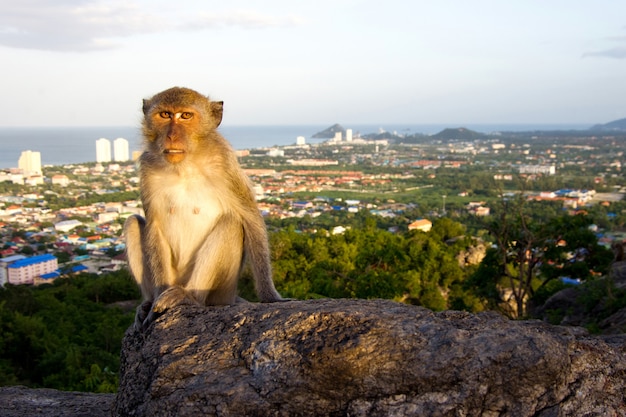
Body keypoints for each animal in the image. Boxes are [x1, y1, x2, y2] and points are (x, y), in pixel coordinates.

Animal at [123, 87, 282, 328]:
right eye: (165, 115)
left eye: (185, 116)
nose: (171, 136)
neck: (184, 167)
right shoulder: (148, 168)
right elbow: (154, 225)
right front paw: (154, 302)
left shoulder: (224, 164)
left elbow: (250, 217)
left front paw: (270, 297)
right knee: (133, 223)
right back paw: (150, 301)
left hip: (221, 292)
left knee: (231, 223)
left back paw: (189, 296)